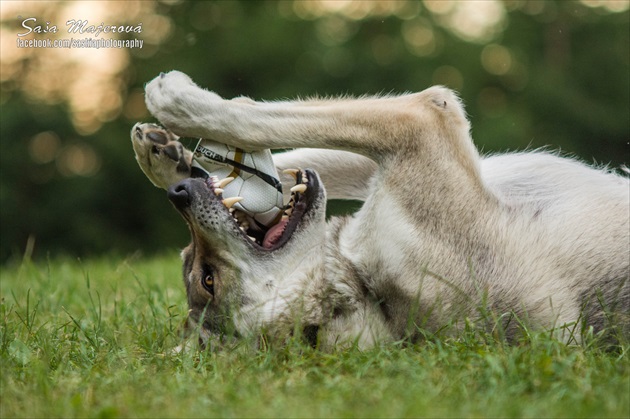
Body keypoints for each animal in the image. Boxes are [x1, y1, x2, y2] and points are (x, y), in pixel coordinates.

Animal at [131, 70, 628, 350]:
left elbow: (292, 151)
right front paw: (177, 103)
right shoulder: (423, 125)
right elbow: (269, 122)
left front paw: (171, 155)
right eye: (207, 279)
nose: (181, 196)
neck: (365, 282)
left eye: (194, 269)